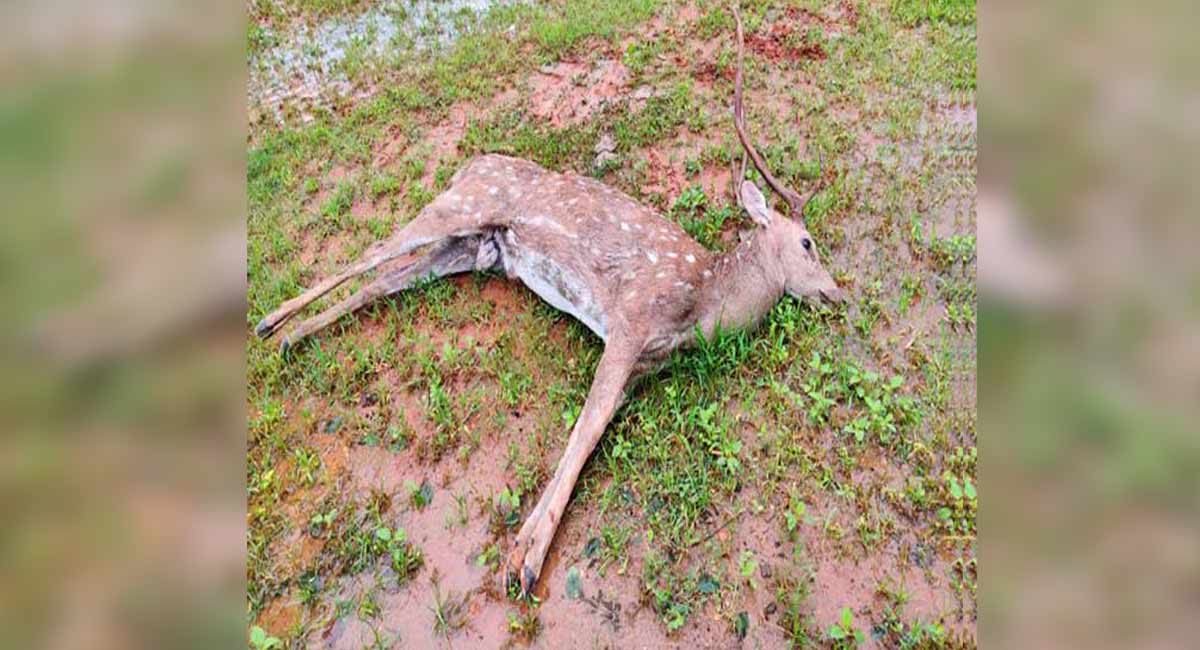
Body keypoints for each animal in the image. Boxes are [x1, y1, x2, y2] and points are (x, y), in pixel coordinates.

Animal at [253, 6, 844, 596]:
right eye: (808, 243)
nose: (837, 294)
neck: (701, 304)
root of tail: (467, 164)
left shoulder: (642, 366)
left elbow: (591, 427)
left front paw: (522, 552)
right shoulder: (630, 321)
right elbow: (587, 426)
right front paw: (526, 560)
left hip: (476, 247)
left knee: (392, 276)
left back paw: (291, 339)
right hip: (462, 205)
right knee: (375, 250)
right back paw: (269, 324)